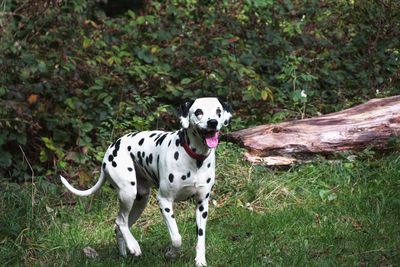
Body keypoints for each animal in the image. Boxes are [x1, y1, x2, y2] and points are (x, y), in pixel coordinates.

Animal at [59, 97, 231, 266]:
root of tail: (111, 148)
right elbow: (176, 238)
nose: (213, 122)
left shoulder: (202, 205)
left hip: (140, 200)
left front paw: (200, 260)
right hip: (128, 193)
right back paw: (134, 246)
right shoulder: (164, 201)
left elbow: (201, 238)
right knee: (120, 221)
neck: (194, 158)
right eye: (198, 111)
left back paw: (124, 254)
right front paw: (171, 253)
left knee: (119, 226)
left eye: (218, 111)